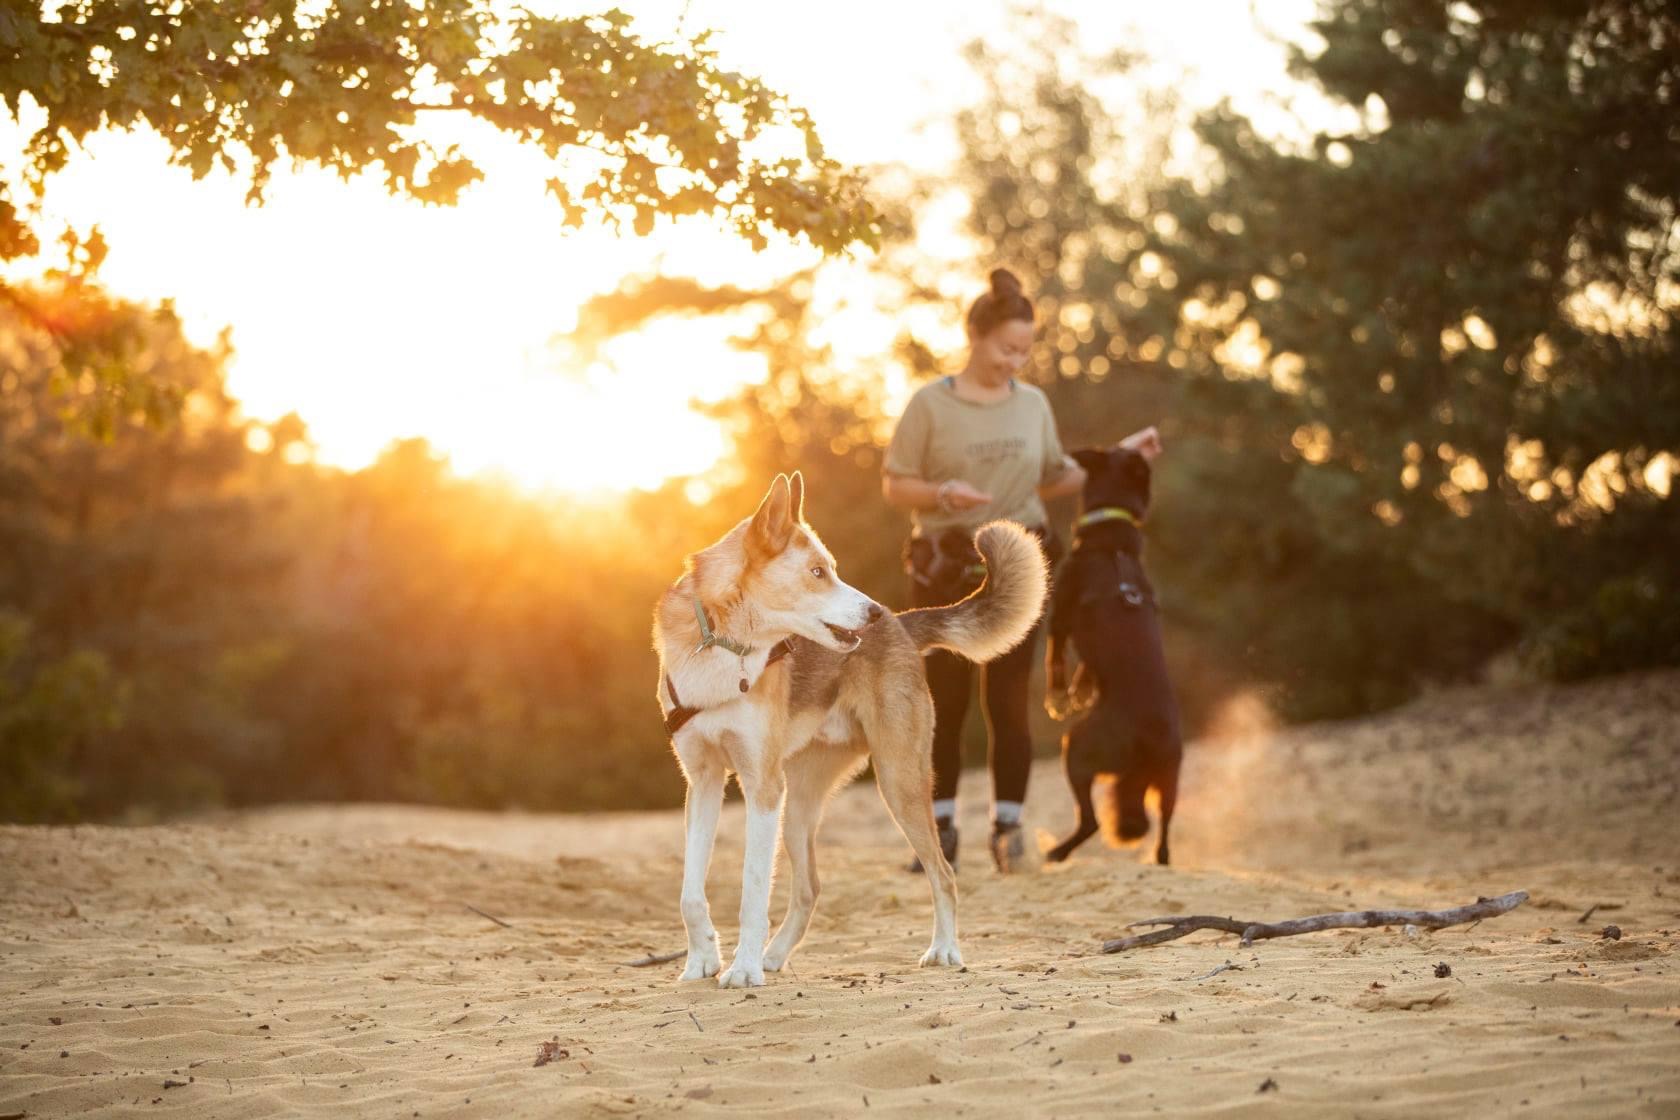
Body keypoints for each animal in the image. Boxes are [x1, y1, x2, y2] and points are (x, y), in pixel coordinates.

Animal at [648, 473, 1041, 987]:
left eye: (830, 568)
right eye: (818, 572)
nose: (872, 612)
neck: (721, 643)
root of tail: (902, 625)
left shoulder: (761, 787)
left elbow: (752, 892)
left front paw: (744, 968)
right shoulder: (704, 782)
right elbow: (690, 893)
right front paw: (702, 960)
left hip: (897, 783)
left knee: (943, 873)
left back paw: (944, 949)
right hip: (796, 808)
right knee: (810, 888)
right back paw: (776, 955)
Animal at [1034, 446, 1182, 866]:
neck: (1112, 545)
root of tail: (1148, 741)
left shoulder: (1060, 617)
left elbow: (1055, 660)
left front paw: (1059, 699)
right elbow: (1085, 668)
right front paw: (1082, 692)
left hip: (1078, 748)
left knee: (1091, 821)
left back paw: (1057, 853)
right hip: (1170, 779)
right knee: (1164, 828)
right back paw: (1160, 860)